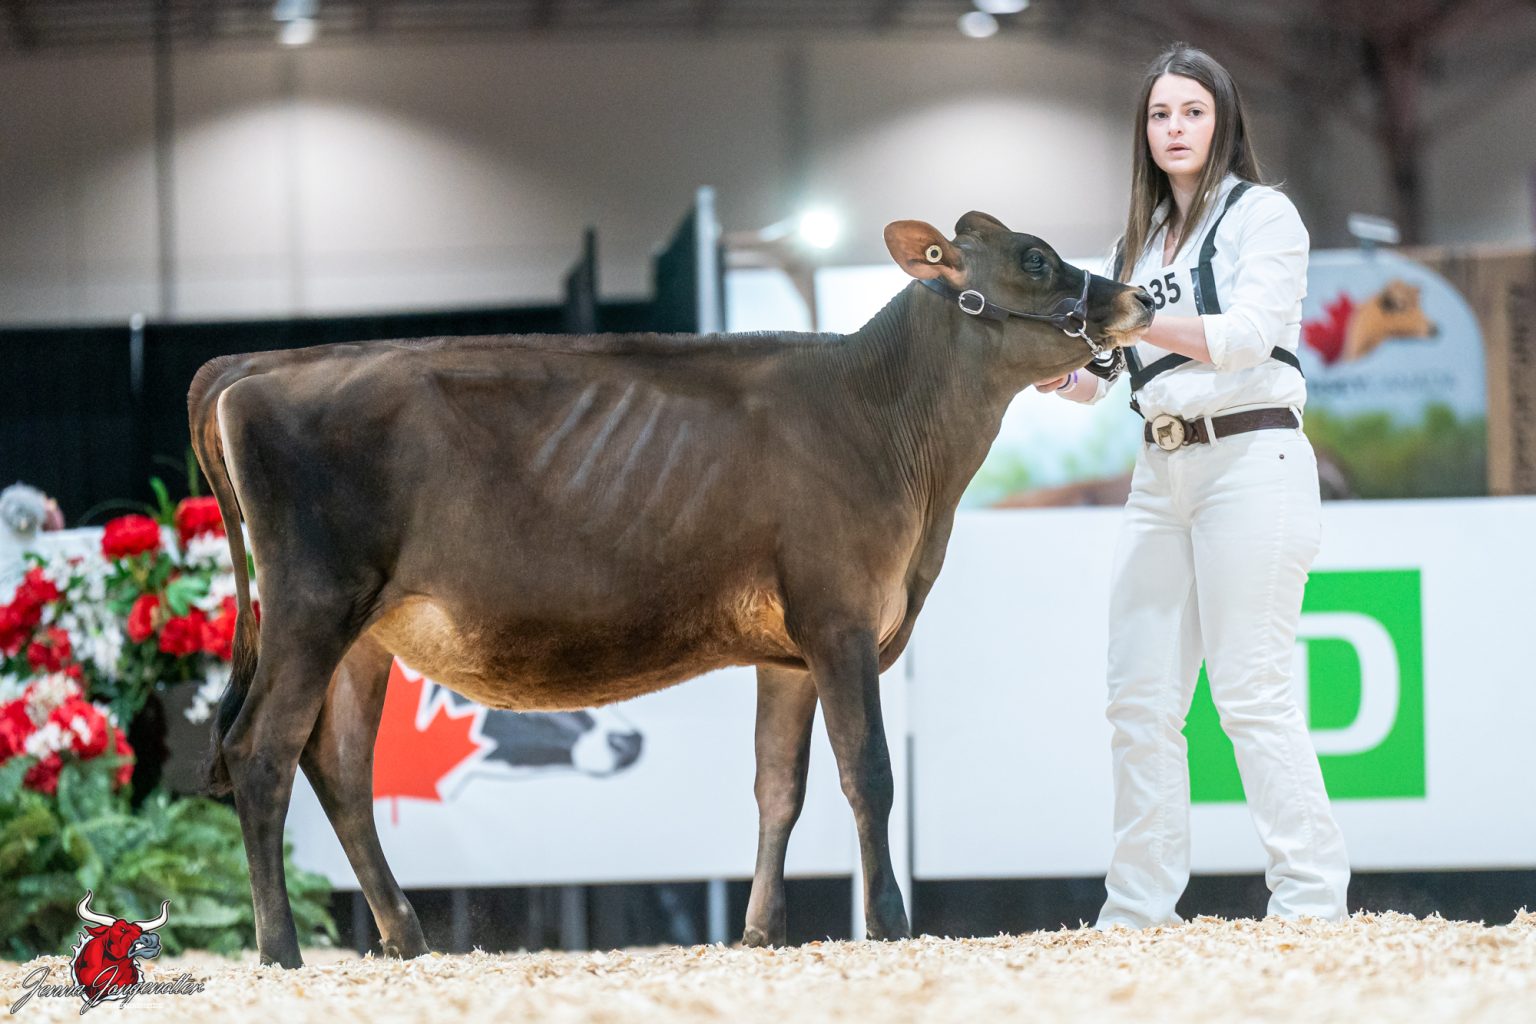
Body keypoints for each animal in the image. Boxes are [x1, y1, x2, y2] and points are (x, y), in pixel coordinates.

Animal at [188, 212, 1154, 967]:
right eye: (1036, 257)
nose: (1139, 299)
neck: (893, 430)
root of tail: (256, 367)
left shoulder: (790, 653)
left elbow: (779, 786)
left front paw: (761, 933)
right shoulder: (839, 619)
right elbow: (867, 771)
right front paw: (891, 923)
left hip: (365, 633)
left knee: (341, 768)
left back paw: (405, 938)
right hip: (314, 604)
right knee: (261, 752)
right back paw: (281, 950)